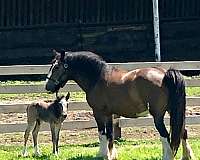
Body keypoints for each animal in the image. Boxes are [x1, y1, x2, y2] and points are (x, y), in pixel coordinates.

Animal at [45, 50, 195, 160]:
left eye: (56, 67)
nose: (48, 87)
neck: (96, 78)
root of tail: (164, 74)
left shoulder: (98, 113)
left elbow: (102, 133)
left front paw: (102, 155)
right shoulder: (109, 114)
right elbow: (110, 135)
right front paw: (111, 155)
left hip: (158, 116)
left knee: (165, 135)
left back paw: (167, 156)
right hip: (174, 111)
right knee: (182, 132)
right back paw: (186, 156)